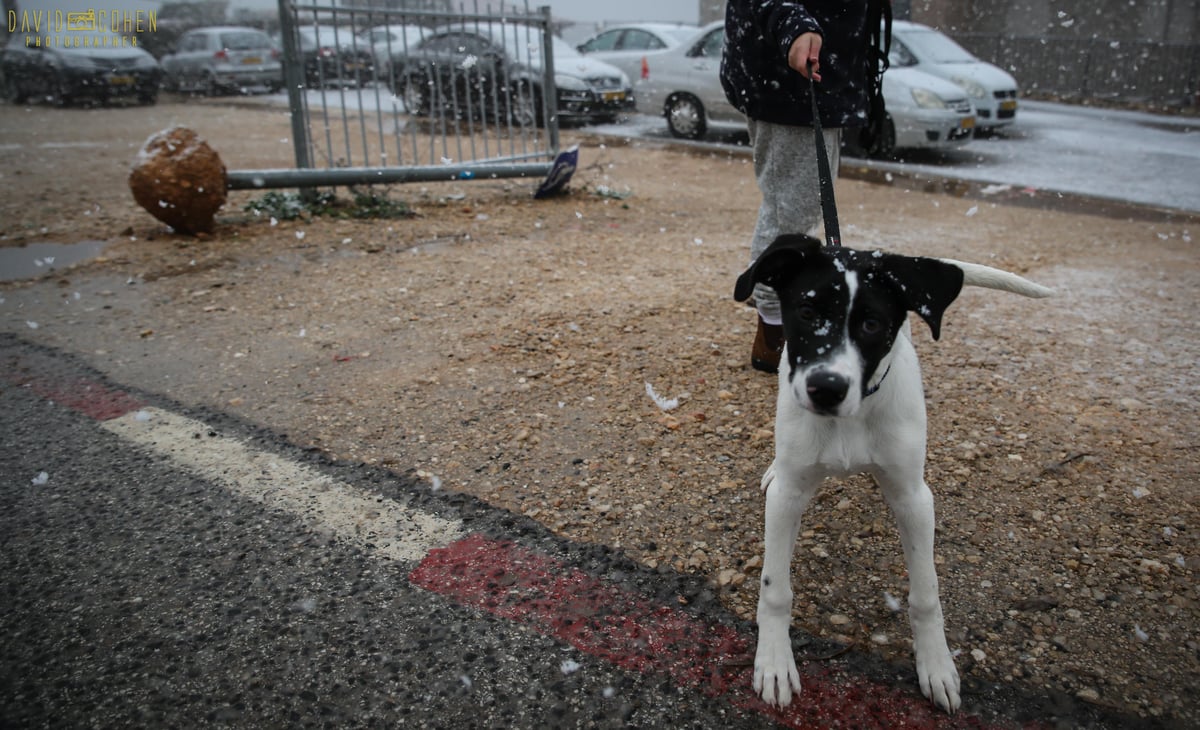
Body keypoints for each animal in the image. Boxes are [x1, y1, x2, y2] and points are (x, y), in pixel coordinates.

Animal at [729, 234, 1051, 710]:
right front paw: (773, 661)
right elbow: (774, 586)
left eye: (872, 324)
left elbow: (926, 595)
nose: (826, 389)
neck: (852, 417)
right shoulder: (787, 498)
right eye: (806, 312)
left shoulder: (913, 498)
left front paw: (936, 665)